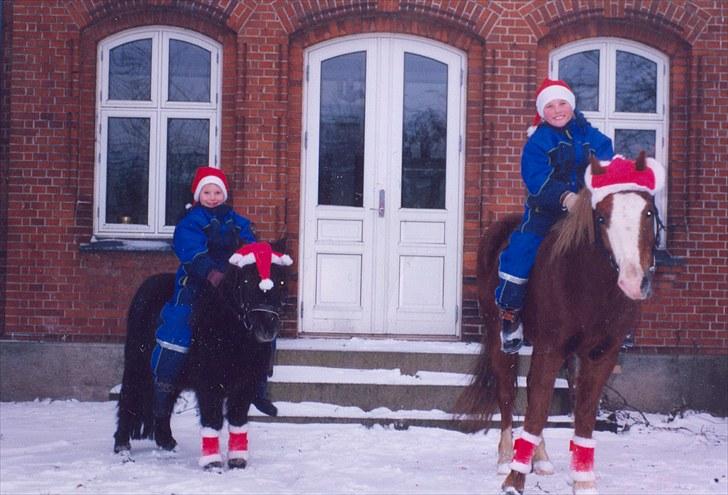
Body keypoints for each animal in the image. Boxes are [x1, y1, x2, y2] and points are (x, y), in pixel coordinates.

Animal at [113, 241, 292, 470]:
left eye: (281, 281)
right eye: (246, 280)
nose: (267, 328)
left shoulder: (245, 384)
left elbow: (237, 418)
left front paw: (237, 460)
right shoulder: (209, 384)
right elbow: (212, 420)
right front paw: (213, 462)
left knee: (164, 400)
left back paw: (167, 441)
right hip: (138, 365)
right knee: (129, 397)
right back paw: (122, 445)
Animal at [457, 152, 665, 495]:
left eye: (648, 212)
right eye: (601, 218)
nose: (634, 281)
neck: (589, 282)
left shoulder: (600, 354)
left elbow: (583, 410)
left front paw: (583, 480)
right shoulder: (551, 348)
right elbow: (538, 407)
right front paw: (514, 479)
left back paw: (539, 458)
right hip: (501, 338)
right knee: (507, 392)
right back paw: (506, 457)